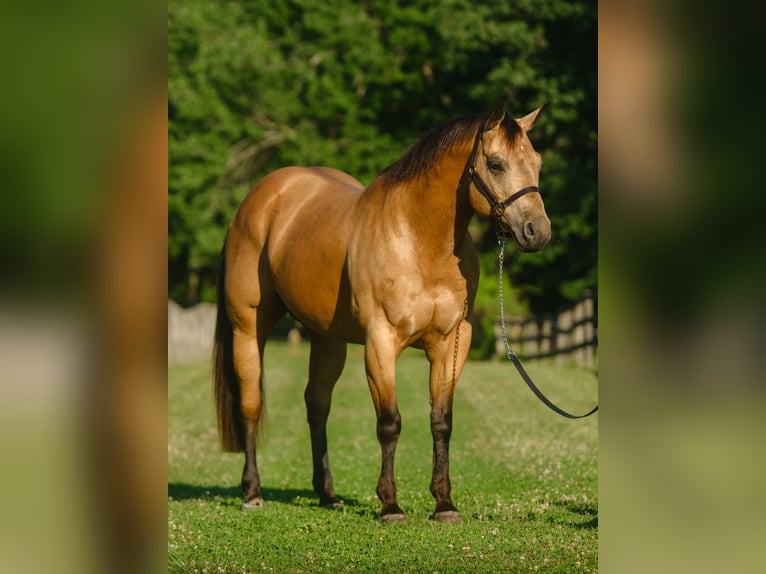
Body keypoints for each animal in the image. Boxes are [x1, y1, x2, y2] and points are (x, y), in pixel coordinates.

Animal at [213, 104, 551, 524]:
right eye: (495, 163)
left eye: (536, 162)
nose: (538, 232)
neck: (419, 241)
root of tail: (258, 200)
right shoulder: (380, 342)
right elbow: (389, 423)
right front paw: (390, 504)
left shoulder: (451, 344)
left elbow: (442, 422)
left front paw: (444, 504)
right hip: (247, 327)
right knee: (251, 404)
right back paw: (252, 492)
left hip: (327, 339)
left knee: (317, 405)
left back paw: (327, 494)